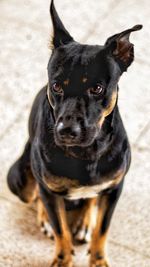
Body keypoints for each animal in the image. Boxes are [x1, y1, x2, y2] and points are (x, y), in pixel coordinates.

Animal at [7, 1, 143, 266]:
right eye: (56, 85)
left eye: (97, 88)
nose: (68, 131)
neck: (87, 152)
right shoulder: (48, 191)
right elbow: (61, 229)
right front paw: (62, 258)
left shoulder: (114, 189)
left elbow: (103, 229)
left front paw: (98, 259)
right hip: (19, 178)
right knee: (38, 195)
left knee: (90, 199)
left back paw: (83, 222)